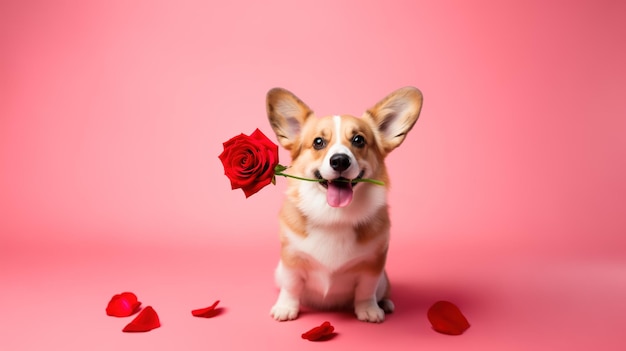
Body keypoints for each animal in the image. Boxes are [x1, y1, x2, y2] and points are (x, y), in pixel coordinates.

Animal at [264, 86, 420, 324]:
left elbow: (366, 290)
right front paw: (286, 308)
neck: (333, 215)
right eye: (318, 142)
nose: (339, 161)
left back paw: (385, 303)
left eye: (358, 140)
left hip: (385, 280)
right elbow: (291, 287)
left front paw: (369, 310)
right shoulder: (291, 260)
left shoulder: (373, 265)